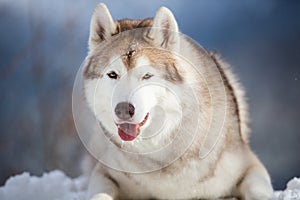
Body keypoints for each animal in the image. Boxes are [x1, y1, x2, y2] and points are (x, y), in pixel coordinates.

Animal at [81, 3, 274, 200]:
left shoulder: (250, 165)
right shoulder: (104, 172)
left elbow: (258, 191)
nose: (123, 110)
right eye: (113, 74)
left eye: (147, 75)